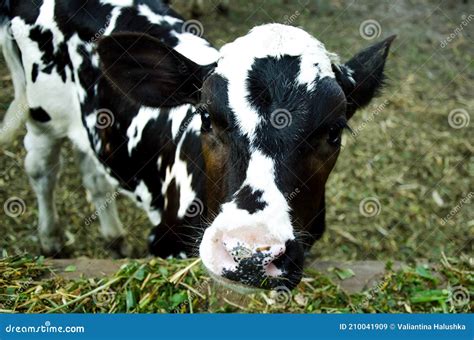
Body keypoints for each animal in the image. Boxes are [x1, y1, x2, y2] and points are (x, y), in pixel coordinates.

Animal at [0, 0, 392, 290]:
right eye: (206, 117)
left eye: (333, 131)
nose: (250, 255)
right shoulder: (164, 241)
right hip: (42, 114)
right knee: (42, 170)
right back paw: (51, 241)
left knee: (92, 170)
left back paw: (114, 237)